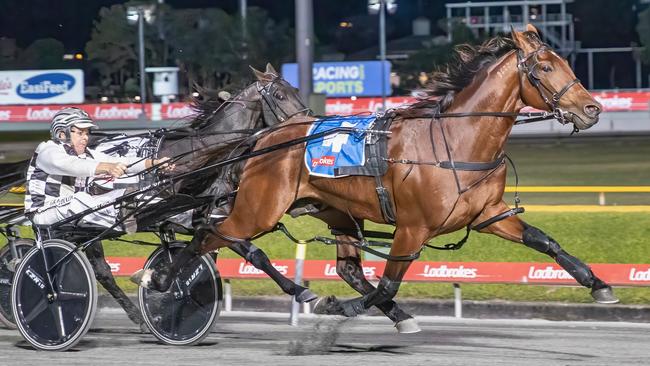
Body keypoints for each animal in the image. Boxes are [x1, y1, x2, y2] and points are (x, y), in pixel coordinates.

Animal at [138, 26, 616, 332]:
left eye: (563, 61)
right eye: (545, 68)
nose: (592, 109)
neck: (455, 141)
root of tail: (263, 138)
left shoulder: (488, 214)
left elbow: (545, 241)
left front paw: (600, 285)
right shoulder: (412, 227)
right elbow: (388, 283)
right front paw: (343, 307)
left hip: (335, 212)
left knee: (343, 265)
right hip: (260, 209)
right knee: (213, 235)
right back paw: (163, 281)